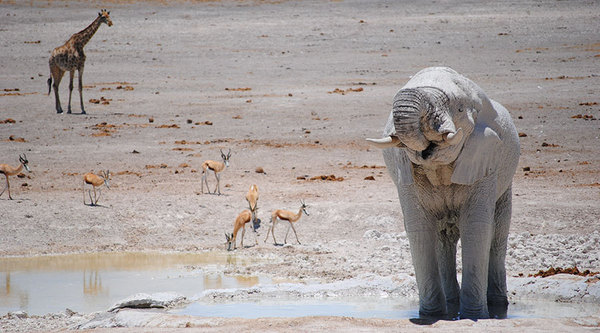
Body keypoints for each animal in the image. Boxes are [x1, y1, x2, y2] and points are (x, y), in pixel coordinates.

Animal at [366, 67, 520, 320]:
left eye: (458, 109)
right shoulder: (405, 171)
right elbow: (419, 227)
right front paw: (430, 316)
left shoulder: (485, 159)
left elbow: (477, 226)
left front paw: (474, 315)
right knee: (442, 239)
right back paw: (451, 303)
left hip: (505, 183)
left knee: (498, 233)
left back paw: (498, 306)